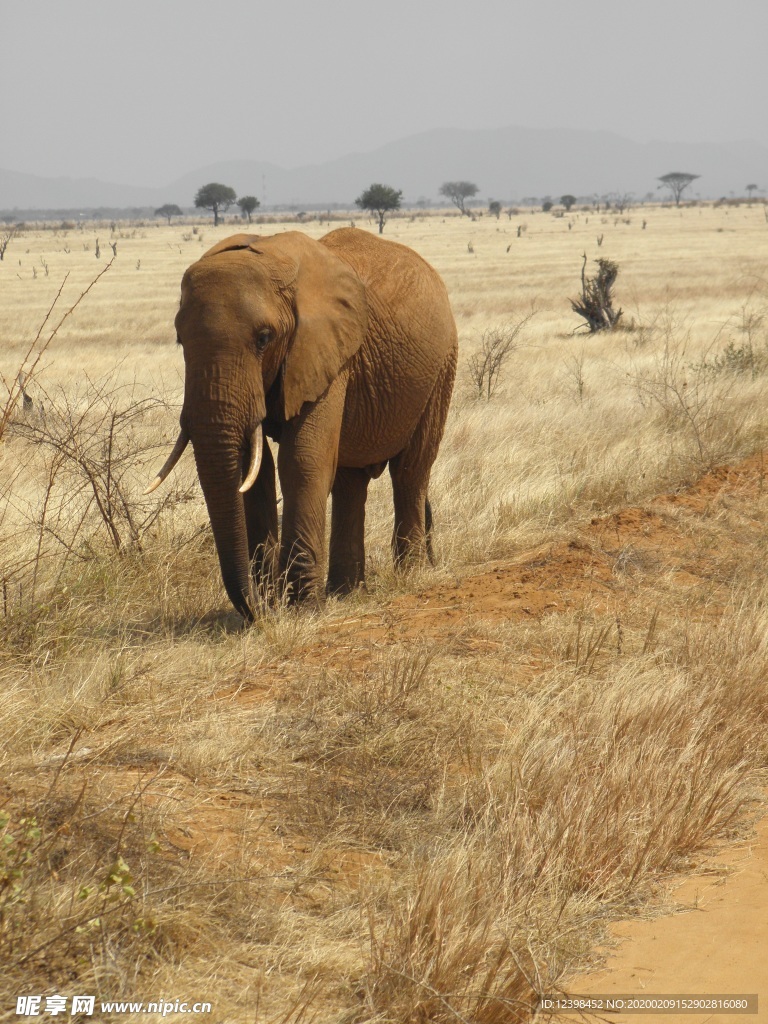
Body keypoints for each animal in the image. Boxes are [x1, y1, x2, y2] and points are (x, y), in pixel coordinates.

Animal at [148, 227, 460, 618]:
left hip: (441, 366)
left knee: (410, 470)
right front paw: (277, 602)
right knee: (350, 481)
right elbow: (255, 470)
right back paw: (346, 593)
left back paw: (410, 577)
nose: (262, 608)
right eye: (179, 340)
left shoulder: (328, 354)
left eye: (264, 339)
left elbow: (302, 460)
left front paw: (301, 609)